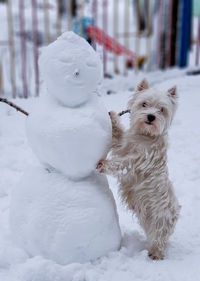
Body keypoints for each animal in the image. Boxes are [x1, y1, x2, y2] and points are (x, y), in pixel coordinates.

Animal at [97, 78, 180, 258]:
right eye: (144, 104)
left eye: (161, 109)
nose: (151, 116)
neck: (144, 136)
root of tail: (175, 212)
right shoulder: (123, 145)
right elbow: (118, 136)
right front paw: (112, 116)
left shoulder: (138, 161)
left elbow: (122, 163)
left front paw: (103, 164)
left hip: (160, 220)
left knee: (159, 239)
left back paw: (155, 255)